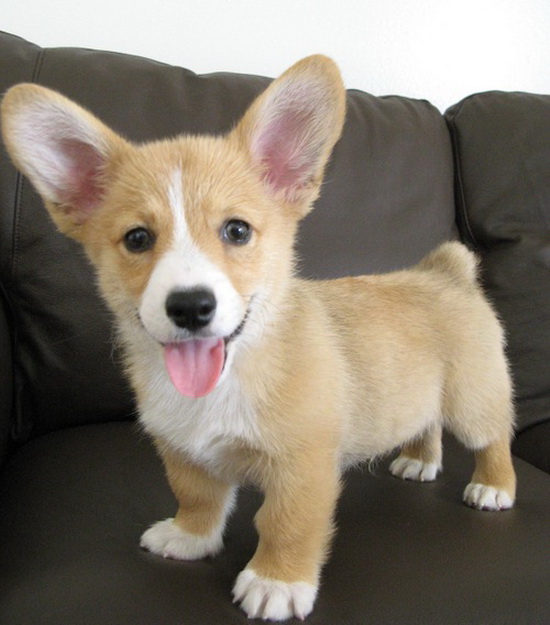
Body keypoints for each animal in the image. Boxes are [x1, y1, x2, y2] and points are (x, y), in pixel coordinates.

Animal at [1, 57, 516, 620]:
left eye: (237, 231)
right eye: (137, 239)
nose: (190, 306)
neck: (229, 377)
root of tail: (447, 272)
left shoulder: (303, 466)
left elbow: (287, 524)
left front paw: (277, 583)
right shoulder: (180, 451)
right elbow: (197, 497)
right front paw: (189, 538)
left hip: (472, 401)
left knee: (494, 439)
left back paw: (492, 487)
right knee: (426, 424)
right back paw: (420, 460)